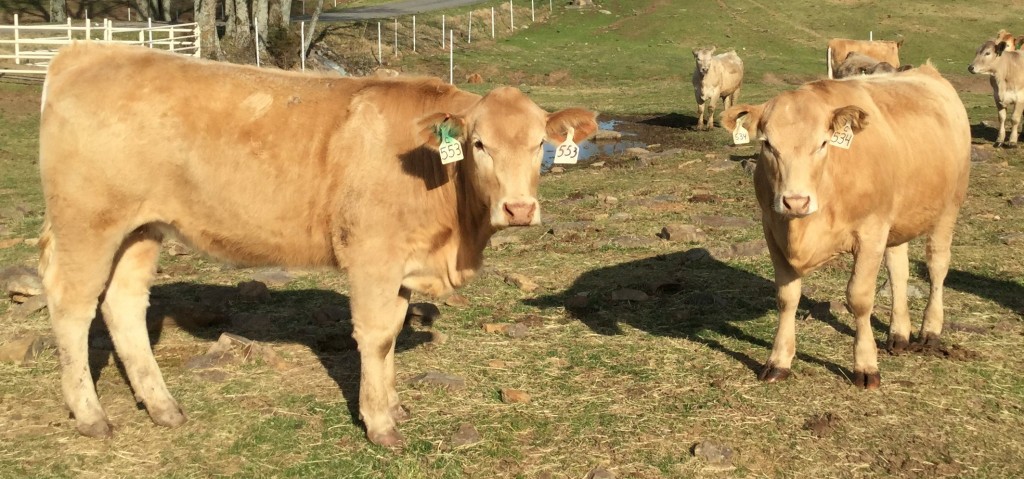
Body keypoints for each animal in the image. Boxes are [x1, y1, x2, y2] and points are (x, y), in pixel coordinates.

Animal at [37, 42, 598, 446]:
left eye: (540, 145)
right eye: (480, 144)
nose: (519, 209)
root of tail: (86, 51)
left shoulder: (400, 265)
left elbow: (394, 329)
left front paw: (394, 405)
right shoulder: (371, 257)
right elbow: (376, 336)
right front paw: (379, 424)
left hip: (140, 229)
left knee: (124, 305)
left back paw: (163, 408)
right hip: (87, 222)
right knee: (72, 304)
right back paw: (91, 416)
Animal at [720, 62, 966, 388]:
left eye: (823, 143)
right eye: (768, 145)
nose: (795, 202)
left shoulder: (871, 233)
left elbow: (859, 298)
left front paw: (866, 365)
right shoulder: (772, 229)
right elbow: (787, 298)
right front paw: (778, 361)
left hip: (948, 209)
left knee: (937, 266)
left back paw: (930, 332)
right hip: (897, 221)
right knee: (898, 271)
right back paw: (899, 334)